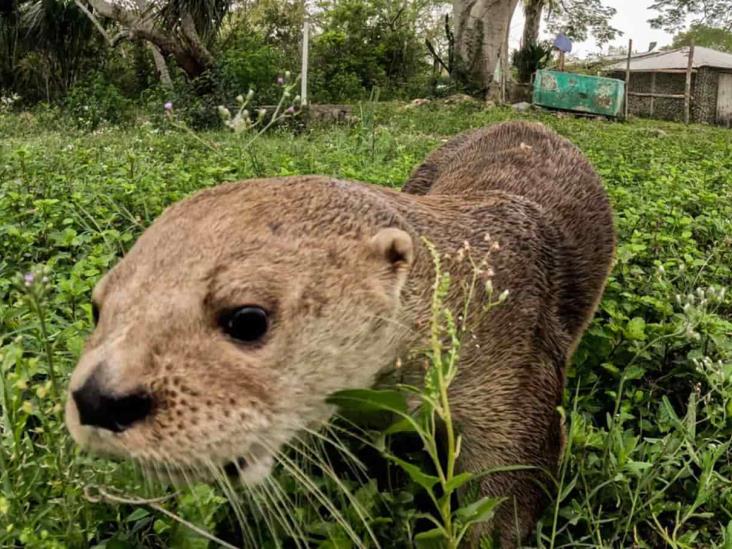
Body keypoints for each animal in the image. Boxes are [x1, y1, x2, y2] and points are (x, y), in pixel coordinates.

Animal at [64, 122, 612, 544]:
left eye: (247, 319)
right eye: (97, 308)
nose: (98, 398)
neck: (475, 288)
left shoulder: (519, 381)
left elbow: (506, 501)